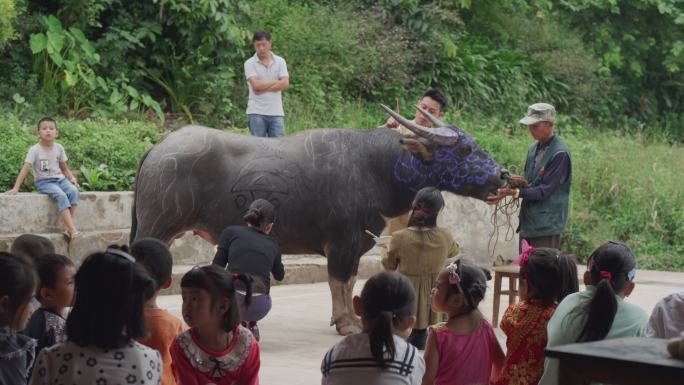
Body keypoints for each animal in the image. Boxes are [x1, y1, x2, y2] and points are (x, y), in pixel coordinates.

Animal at [132, 105, 508, 332]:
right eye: (464, 149)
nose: (502, 175)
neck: (376, 167)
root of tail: (158, 148)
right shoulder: (342, 242)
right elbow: (339, 281)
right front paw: (346, 322)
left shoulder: (356, 243)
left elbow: (351, 281)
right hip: (157, 226)